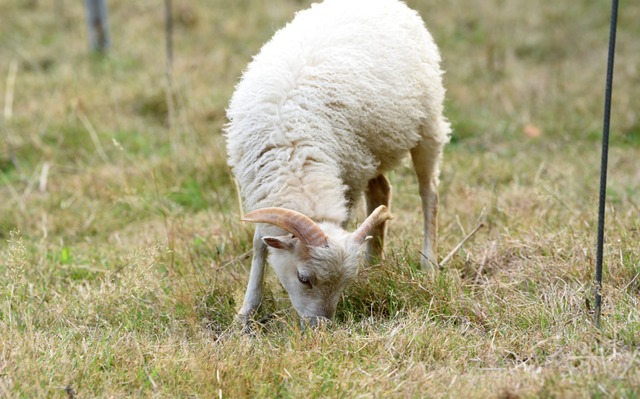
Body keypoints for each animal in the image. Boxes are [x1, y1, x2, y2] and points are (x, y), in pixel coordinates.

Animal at [225, 0, 450, 326]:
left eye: (344, 283)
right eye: (304, 278)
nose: (321, 327)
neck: (297, 160)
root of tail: (389, 4)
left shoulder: (348, 179)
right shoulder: (260, 190)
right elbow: (258, 245)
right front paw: (246, 312)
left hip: (426, 126)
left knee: (429, 193)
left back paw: (428, 263)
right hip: (369, 149)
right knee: (381, 190)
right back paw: (373, 264)